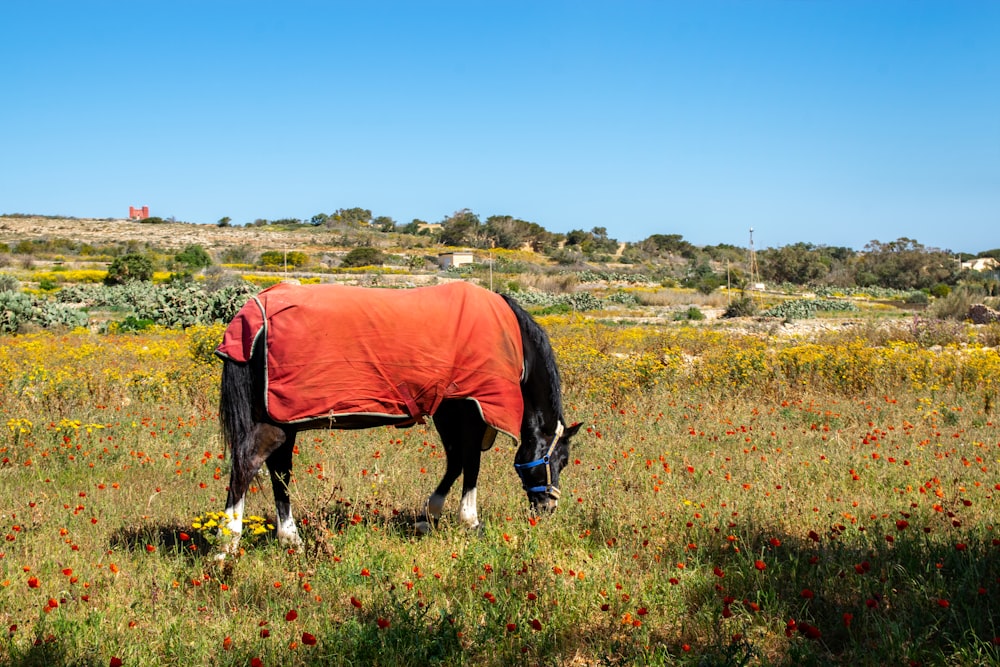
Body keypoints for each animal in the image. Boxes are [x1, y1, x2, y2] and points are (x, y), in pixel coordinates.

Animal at [215, 280, 584, 556]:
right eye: (560, 460)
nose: (548, 507)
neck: (511, 338)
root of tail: (252, 315)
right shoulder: (471, 407)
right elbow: (470, 462)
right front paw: (469, 520)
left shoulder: (446, 408)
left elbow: (455, 460)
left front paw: (428, 515)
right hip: (273, 423)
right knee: (246, 465)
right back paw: (227, 543)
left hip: (286, 421)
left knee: (279, 471)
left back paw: (290, 538)